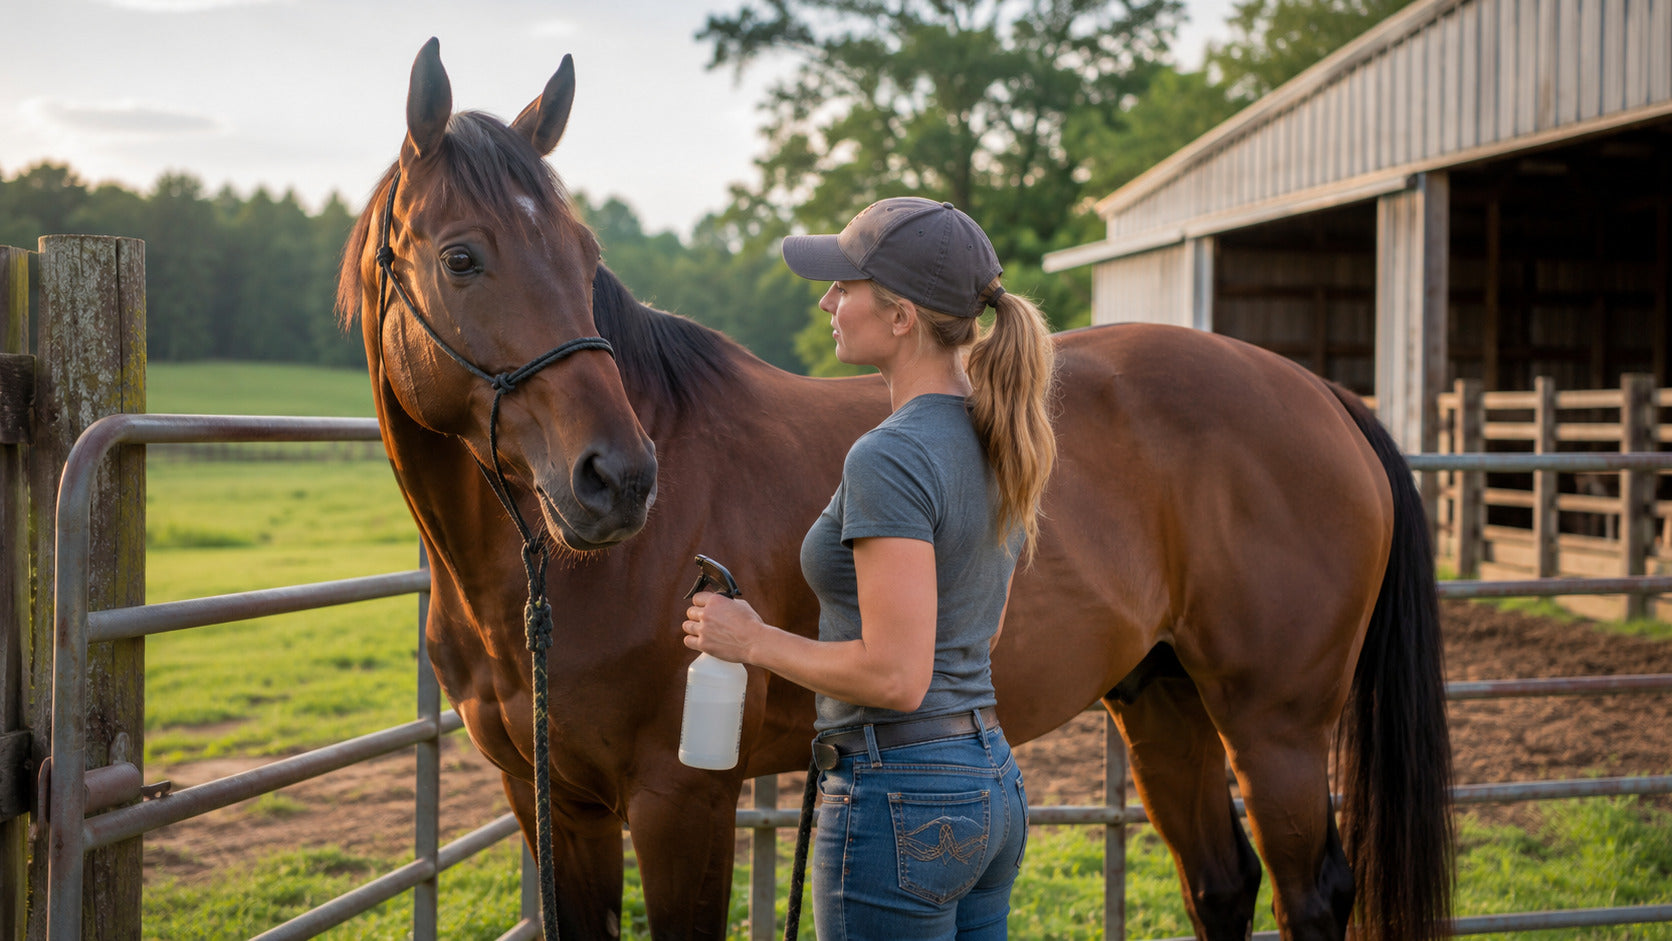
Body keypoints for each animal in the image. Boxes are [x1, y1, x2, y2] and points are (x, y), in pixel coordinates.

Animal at [338, 40, 1453, 941]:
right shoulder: (554, 804)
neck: (551, 585)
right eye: (462, 257)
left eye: (585, 257)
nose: (617, 478)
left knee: (1310, 892)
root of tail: (1322, 394)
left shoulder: (679, 797)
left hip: (1275, 726)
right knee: (1219, 882)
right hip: (1162, 695)